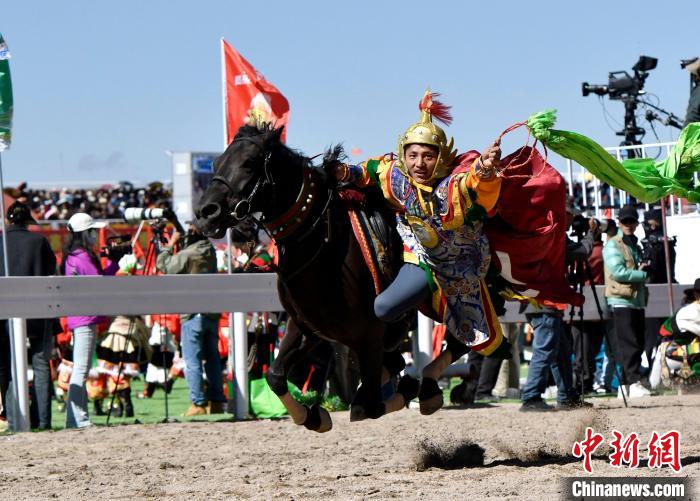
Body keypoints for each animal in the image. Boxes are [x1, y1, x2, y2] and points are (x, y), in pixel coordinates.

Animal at [194, 124, 418, 430]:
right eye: (216, 163)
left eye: (249, 163)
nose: (205, 212)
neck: (324, 246)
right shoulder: (306, 328)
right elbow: (275, 376)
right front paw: (313, 416)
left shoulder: (370, 337)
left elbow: (369, 405)